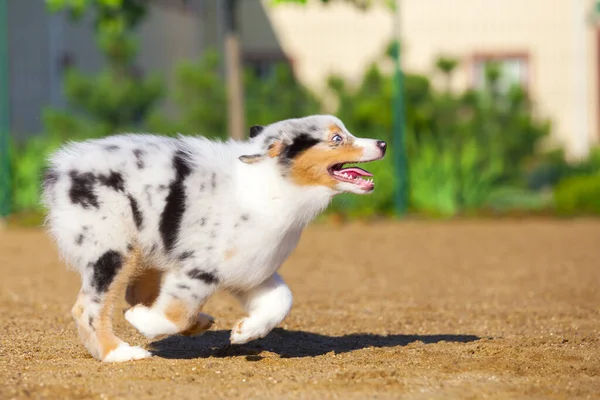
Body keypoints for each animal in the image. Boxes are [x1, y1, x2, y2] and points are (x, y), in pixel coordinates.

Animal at [43, 115, 390, 362]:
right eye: (337, 139)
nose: (383, 143)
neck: (272, 186)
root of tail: (59, 170)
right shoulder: (199, 267)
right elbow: (174, 314)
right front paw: (143, 322)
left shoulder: (250, 266)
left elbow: (282, 299)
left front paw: (245, 332)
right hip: (114, 249)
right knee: (88, 308)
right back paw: (118, 353)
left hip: (147, 247)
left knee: (135, 292)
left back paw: (197, 323)